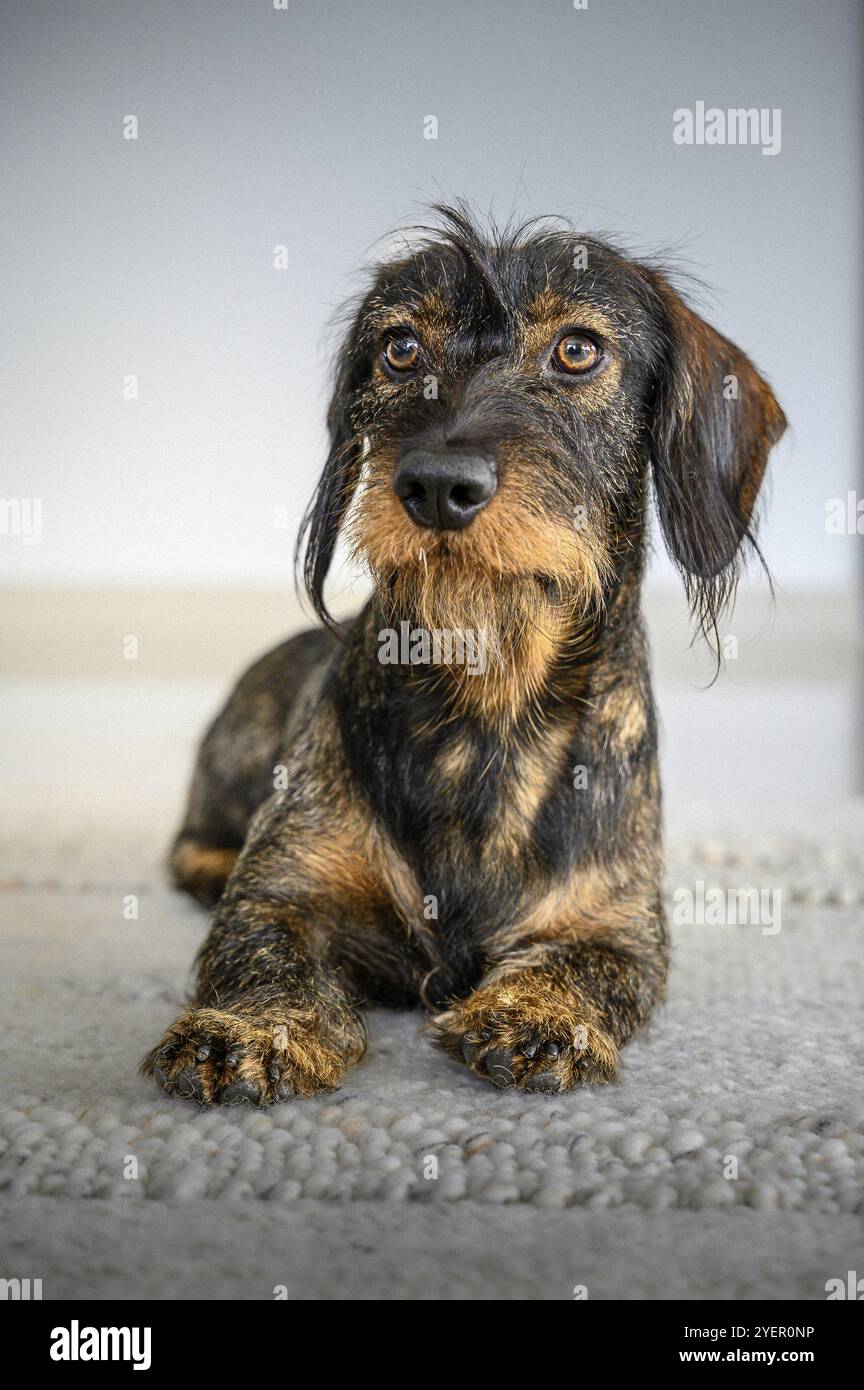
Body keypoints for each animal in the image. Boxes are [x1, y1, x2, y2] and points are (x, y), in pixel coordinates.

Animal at [142, 205, 794, 1100]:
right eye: (400, 348)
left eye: (579, 349)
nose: (437, 485)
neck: (487, 701)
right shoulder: (284, 889)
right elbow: (262, 949)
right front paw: (247, 1029)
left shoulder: (622, 927)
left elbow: (589, 966)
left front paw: (539, 1014)